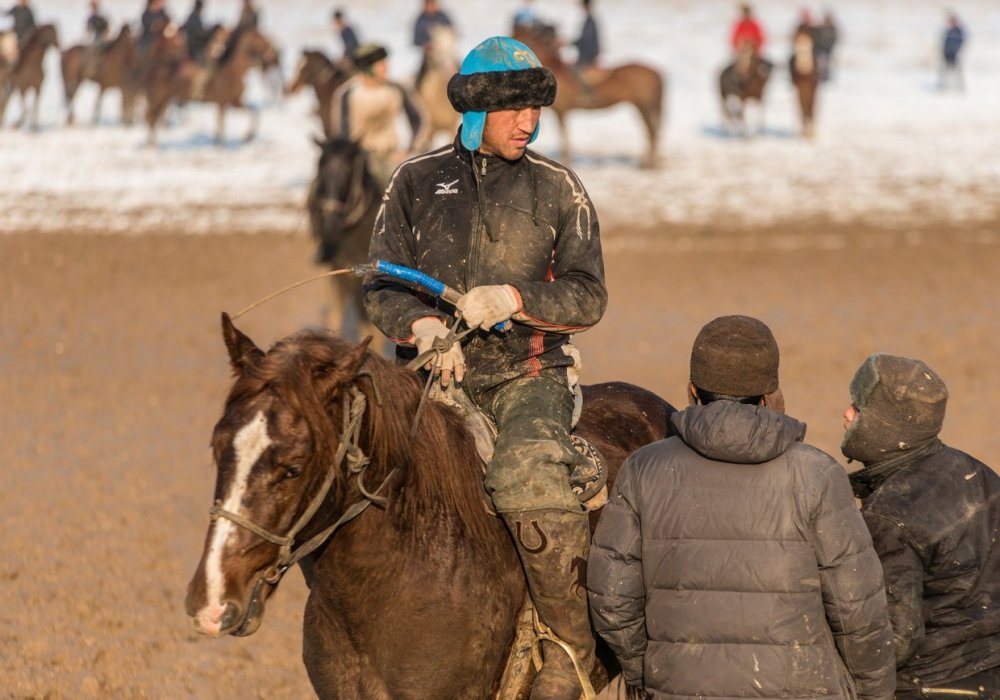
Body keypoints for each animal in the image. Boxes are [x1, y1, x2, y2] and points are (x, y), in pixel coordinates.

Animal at [512, 23, 668, 170]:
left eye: (518, 35)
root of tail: (657, 72)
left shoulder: (562, 111)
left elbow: (564, 136)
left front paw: (566, 161)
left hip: (644, 106)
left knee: (651, 132)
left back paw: (649, 164)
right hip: (642, 107)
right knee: (651, 132)